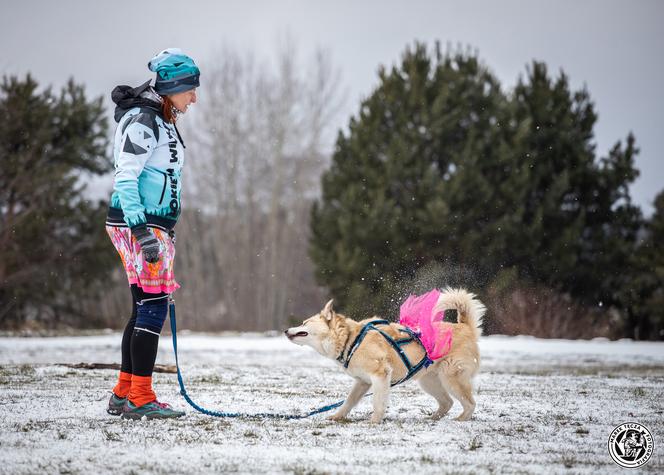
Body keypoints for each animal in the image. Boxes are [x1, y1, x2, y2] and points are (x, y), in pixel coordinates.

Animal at [282, 286, 486, 424]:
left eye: (304, 322)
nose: (285, 330)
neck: (350, 339)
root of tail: (465, 327)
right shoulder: (362, 382)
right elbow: (349, 401)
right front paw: (337, 416)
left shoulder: (380, 376)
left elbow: (377, 402)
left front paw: (374, 421)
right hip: (429, 381)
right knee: (447, 402)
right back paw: (432, 418)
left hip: (452, 378)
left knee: (469, 403)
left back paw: (461, 419)